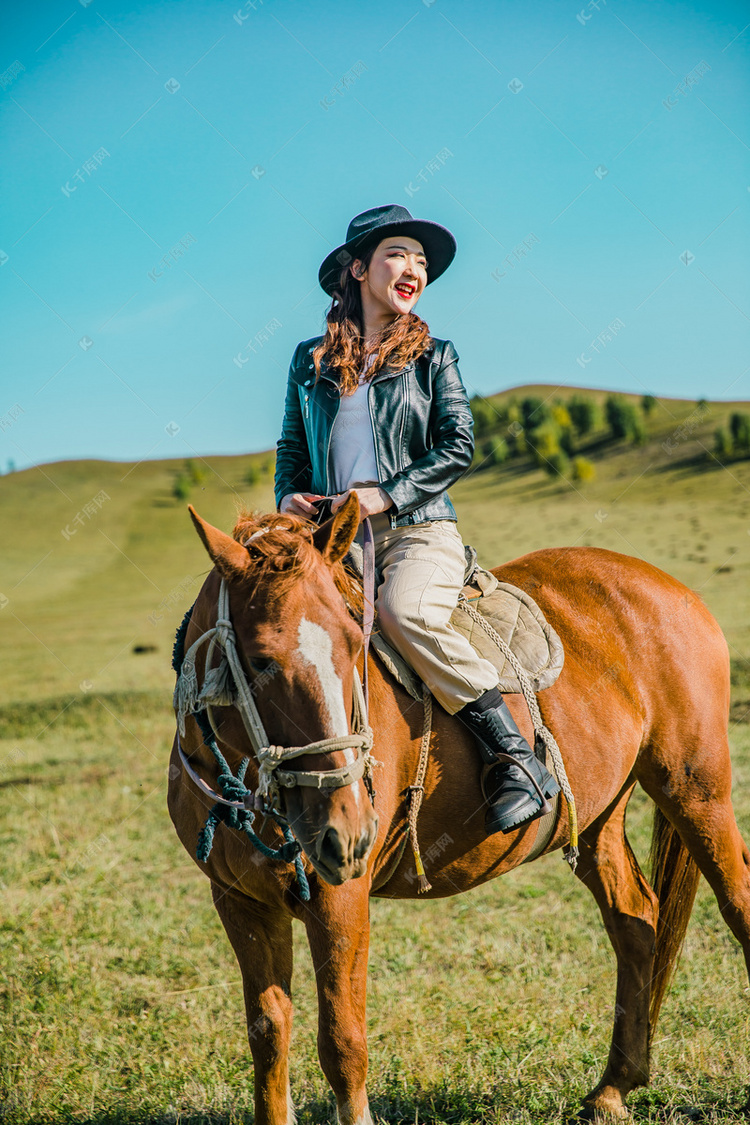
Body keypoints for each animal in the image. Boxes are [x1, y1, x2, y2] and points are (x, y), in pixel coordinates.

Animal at [167, 497, 746, 1120]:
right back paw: (614, 1087)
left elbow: (342, 1044)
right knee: (635, 921)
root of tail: (670, 588)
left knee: (736, 903)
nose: (348, 829)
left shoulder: (341, 899)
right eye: (258, 661)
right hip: (598, 817)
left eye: (353, 644)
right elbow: (269, 1036)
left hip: (695, 790)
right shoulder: (241, 902)